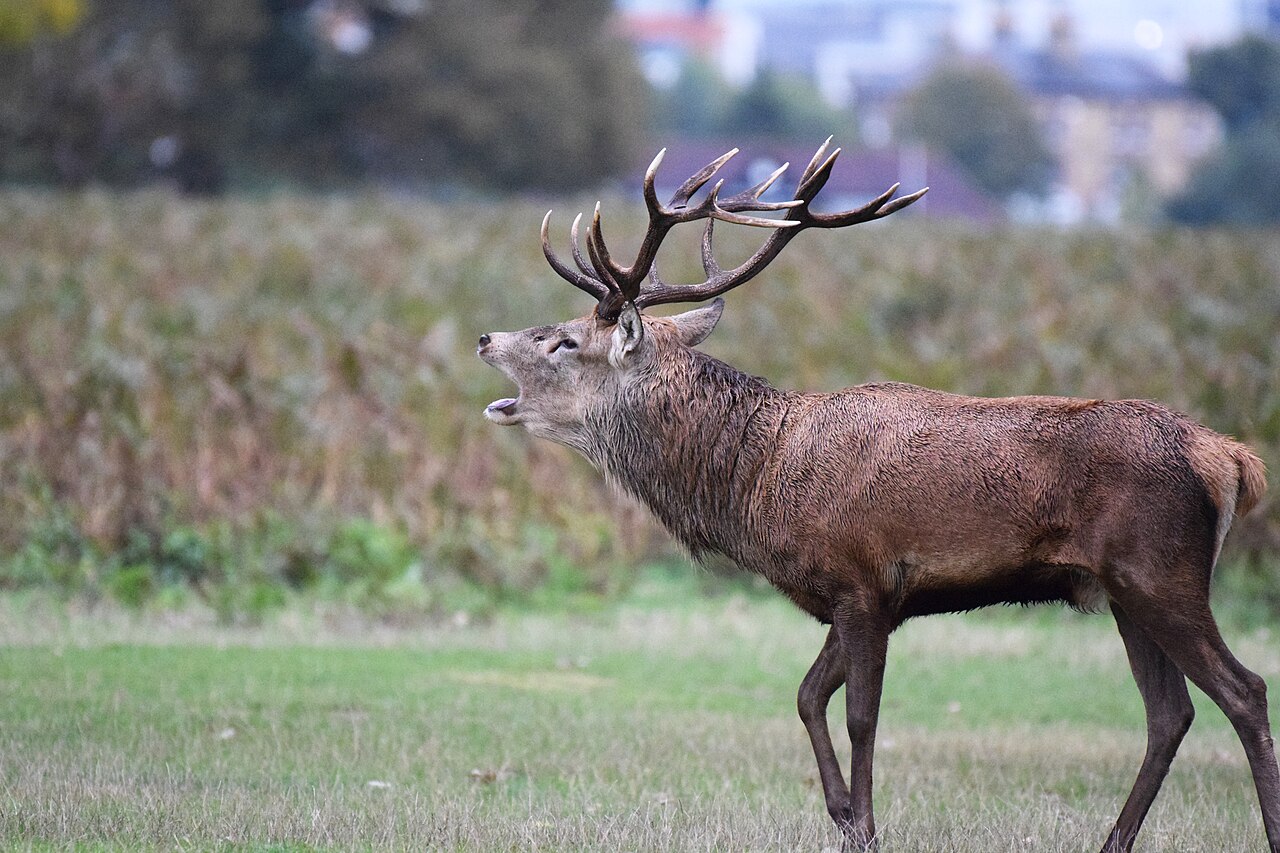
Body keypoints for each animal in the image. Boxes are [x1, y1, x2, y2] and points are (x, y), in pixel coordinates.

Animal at [475, 139, 1277, 852]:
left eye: (565, 342)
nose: (484, 337)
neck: (757, 480)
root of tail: (1231, 457)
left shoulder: (864, 581)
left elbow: (862, 715)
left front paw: (865, 827)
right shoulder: (852, 595)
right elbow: (806, 694)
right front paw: (839, 815)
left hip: (1161, 573)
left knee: (1244, 691)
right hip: (1120, 591)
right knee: (1169, 714)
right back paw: (1112, 841)